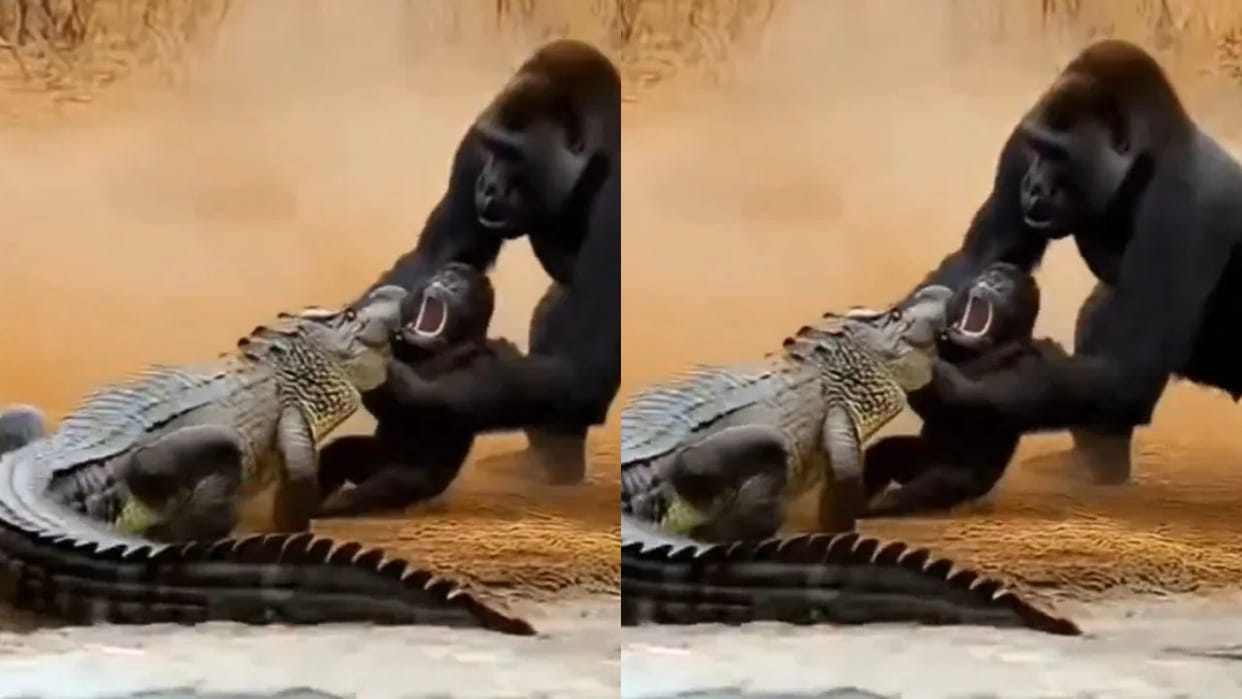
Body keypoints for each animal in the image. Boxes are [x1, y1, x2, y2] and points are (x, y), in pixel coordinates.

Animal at [317, 262, 514, 517]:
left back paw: (335, 506)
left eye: (456, 285)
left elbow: (417, 398)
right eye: (441, 275)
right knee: (338, 455)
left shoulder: (479, 367)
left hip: (416, 482)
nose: (442, 281)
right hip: (375, 456)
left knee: (387, 485)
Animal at [355, 39, 620, 486]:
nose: (488, 185)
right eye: (493, 149)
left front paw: (412, 393)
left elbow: (588, 363)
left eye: (514, 155)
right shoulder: (476, 142)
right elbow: (438, 253)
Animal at [863, 262, 1068, 517]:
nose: (988, 281)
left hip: (961, 482)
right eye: (987, 275)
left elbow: (964, 398)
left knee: (933, 487)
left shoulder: (1027, 367)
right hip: (920, 457)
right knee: (884, 455)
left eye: (1002, 285)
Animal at [903, 40, 1242, 485]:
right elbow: (982, 254)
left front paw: (954, 391)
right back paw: (1098, 459)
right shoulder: (1023, 139)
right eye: (1038, 150)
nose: (1033, 185)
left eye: (1059, 156)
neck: (1145, 161)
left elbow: (1125, 369)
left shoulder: (1185, 204)